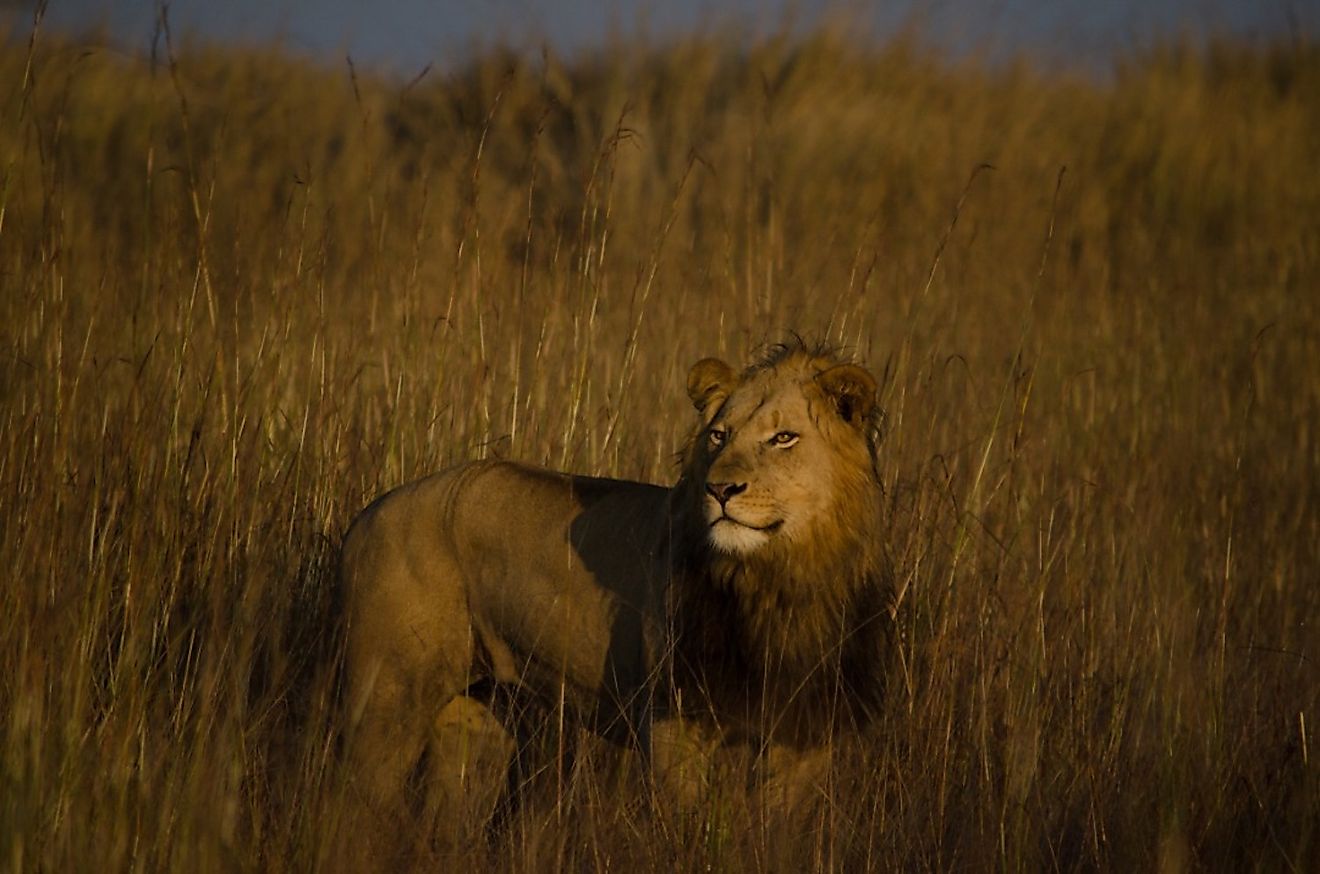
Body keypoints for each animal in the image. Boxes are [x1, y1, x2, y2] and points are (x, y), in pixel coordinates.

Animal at [340, 337, 892, 866]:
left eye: (784, 438)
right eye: (719, 436)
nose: (719, 488)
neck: (779, 583)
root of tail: (369, 513)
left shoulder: (806, 735)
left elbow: (777, 836)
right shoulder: (674, 720)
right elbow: (686, 835)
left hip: (479, 717)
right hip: (389, 696)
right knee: (356, 800)